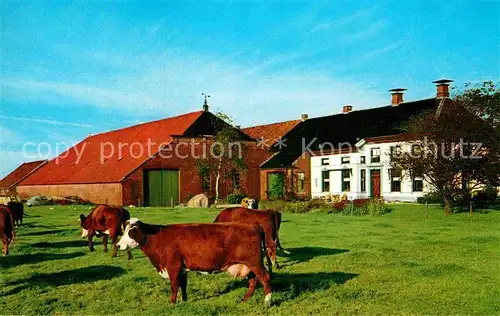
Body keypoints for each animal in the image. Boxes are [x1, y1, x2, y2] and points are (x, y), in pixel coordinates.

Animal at [116, 218, 274, 304]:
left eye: (131, 232)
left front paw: (172, 303)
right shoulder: (182, 268)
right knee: (253, 281)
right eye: (123, 231)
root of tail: (252, 225)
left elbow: (174, 286)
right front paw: (183, 300)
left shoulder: (173, 266)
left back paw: (267, 301)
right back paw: (245, 299)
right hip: (248, 265)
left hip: (255, 263)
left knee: (265, 278)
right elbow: (183, 285)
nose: (117, 245)